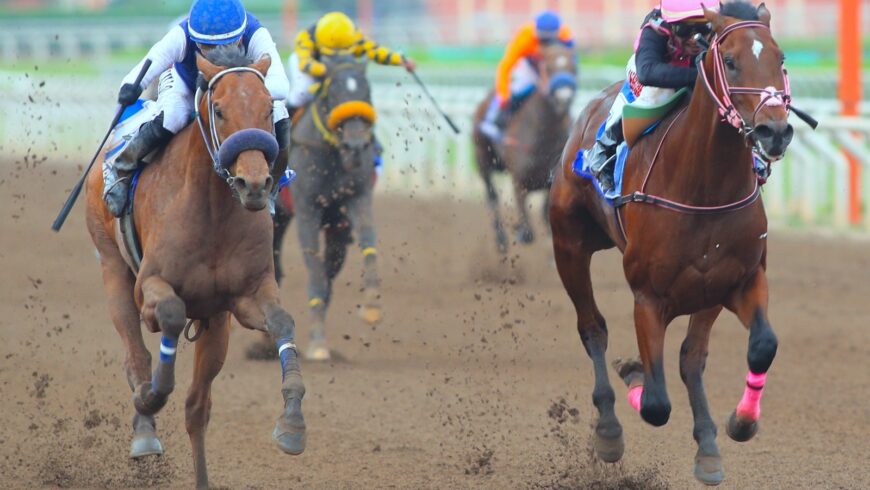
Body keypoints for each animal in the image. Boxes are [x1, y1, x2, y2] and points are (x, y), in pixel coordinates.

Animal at [83, 45, 304, 486]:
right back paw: (144, 430)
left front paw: (292, 423)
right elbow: (168, 315)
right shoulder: (149, 286)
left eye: (268, 107)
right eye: (218, 109)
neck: (213, 211)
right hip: (112, 266)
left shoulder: (245, 298)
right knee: (135, 355)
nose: (255, 184)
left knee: (197, 408)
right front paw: (153, 394)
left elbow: (282, 322)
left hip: (217, 325)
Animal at [474, 41, 576, 253]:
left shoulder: (551, 183)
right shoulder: (519, 182)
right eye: (549, 68)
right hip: (483, 160)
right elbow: (528, 232)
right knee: (492, 197)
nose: (564, 98)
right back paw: (501, 239)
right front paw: (519, 231)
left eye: (574, 67)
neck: (544, 139)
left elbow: (546, 214)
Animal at [552, 2, 796, 482]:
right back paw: (609, 428)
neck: (705, 187)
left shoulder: (734, 280)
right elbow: (655, 403)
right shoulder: (648, 297)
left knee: (688, 358)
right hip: (568, 246)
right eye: (730, 60)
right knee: (593, 329)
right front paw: (634, 374)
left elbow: (756, 347)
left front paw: (738, 424)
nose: (774, 132)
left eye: (780, 59)